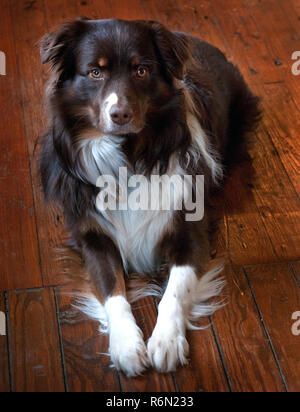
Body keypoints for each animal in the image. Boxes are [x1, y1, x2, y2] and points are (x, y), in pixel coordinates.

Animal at [39, 17, 260, 374]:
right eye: (95, 72)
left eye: (141, 70)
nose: (120, 114)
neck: (131, 154)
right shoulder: (93, 237)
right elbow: (112, 291)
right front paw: (127, 345)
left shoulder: (190, 229)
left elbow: (177, 288)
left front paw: (166, 342)